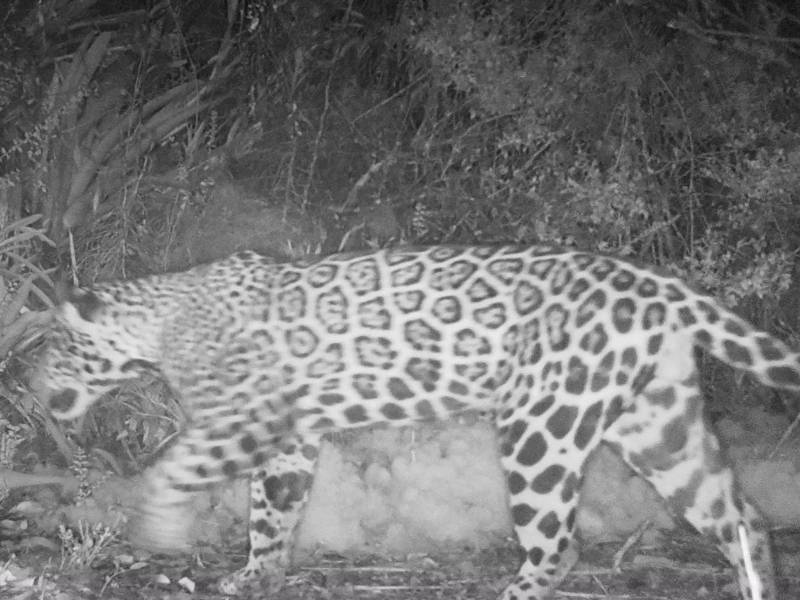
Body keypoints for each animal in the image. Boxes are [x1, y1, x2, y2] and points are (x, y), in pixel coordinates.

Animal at [37, 245, 800, 600]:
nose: (26, 379)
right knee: (739, 515)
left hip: (542, 426)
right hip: (657, 424)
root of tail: (657, 282)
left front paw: (156, 529)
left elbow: (173, 470)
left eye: (54, 344)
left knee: (561, 543)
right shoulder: (286, 441)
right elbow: (272, 511)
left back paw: (515, 590)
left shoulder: (241, 419)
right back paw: (756, 585)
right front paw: (256, 574)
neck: (159, 321)